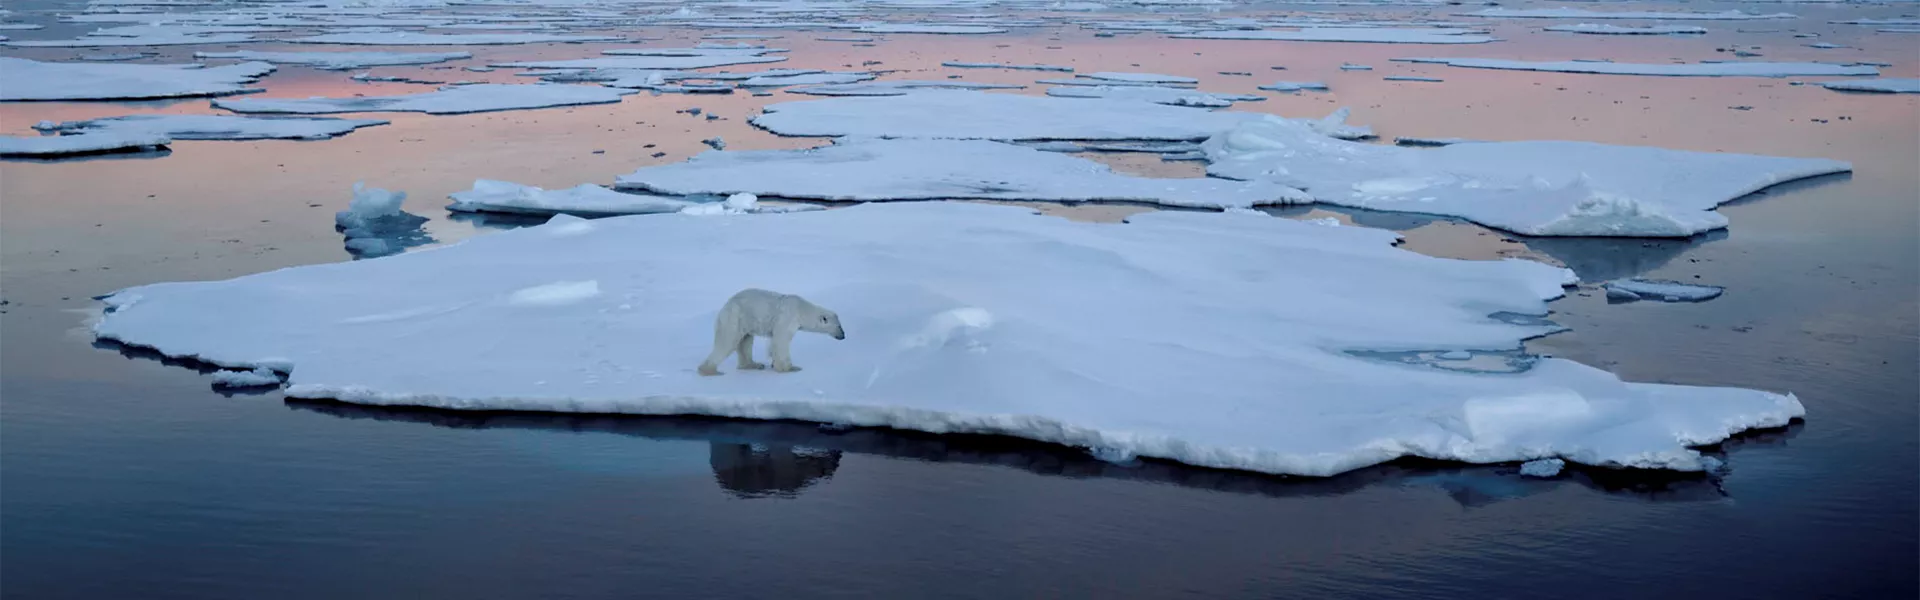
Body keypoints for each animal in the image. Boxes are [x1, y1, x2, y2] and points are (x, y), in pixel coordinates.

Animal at [698, 288, 845, 376]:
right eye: (839, 326)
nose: (843, 336)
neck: (801, 309)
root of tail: (725, 306)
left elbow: (773, 341)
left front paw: (773, 362)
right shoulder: (788, 317)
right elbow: (781, 340)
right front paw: (790, 368)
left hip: (745, 322)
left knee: (746, 341)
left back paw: (754, 365)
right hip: (735, 318)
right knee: (727, 342)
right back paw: (710, 371)